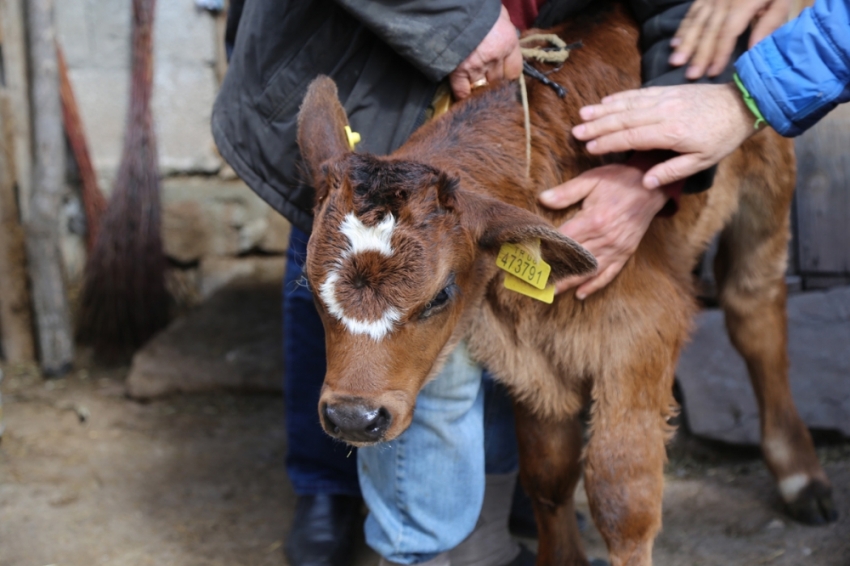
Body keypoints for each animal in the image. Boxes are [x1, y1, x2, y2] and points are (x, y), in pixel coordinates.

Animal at [298, 4, 836, 566]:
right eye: (310, 287)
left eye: (440, 295)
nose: (353, 417)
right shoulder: (527, 350)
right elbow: (549, 473)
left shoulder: (642, 329)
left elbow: (622, 495)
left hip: (766, 178)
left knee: (755, 311)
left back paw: (801, 476)